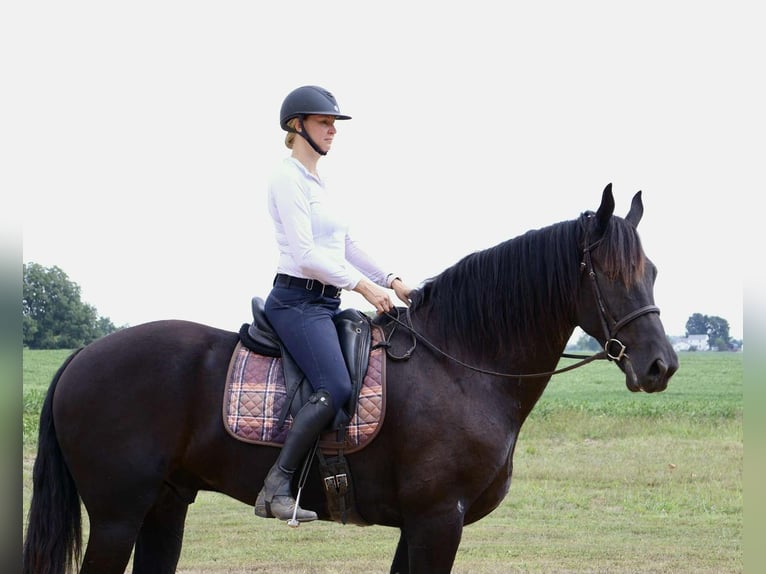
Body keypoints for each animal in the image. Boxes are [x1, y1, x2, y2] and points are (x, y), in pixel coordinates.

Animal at [23, 184, 678, 574]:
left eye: (650, 269)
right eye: (611, 273)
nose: (661, 366)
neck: (460, 366)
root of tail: (82, 355)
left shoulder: (419, 525)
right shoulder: (438, 521)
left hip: (165, 506)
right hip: (118, 516)